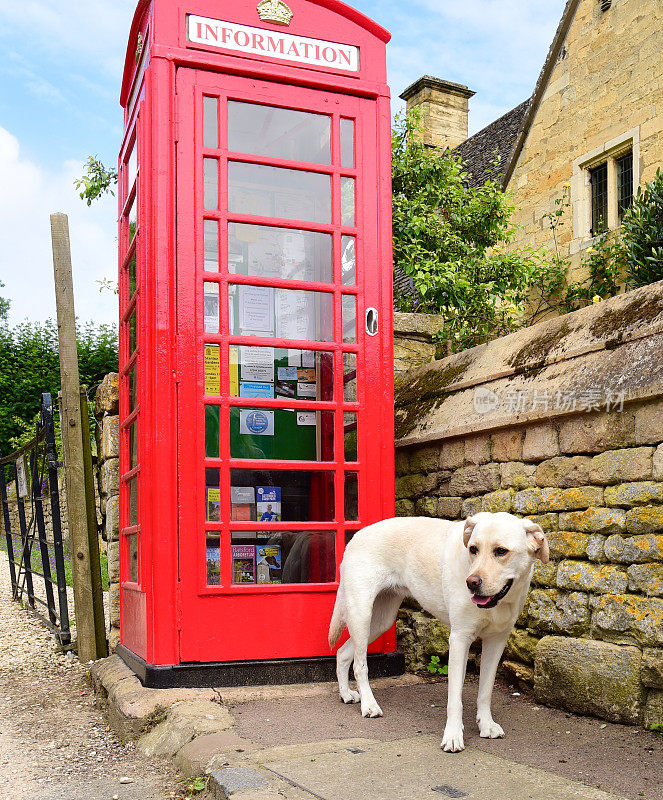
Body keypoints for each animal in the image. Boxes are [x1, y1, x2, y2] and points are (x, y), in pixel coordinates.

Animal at [328, 512, 548, 752]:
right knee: (359, 665)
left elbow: (485, 690)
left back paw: (346, 693)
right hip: (362, 613)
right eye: (473, 549)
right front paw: (453, 735)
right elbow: (454, 698)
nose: (471, 583)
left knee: (343, 653)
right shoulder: (459, 639)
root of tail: (356, 535)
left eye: (501, 551)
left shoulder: (496, 641)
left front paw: (486, 724)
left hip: (380, 622)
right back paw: (369, 705)